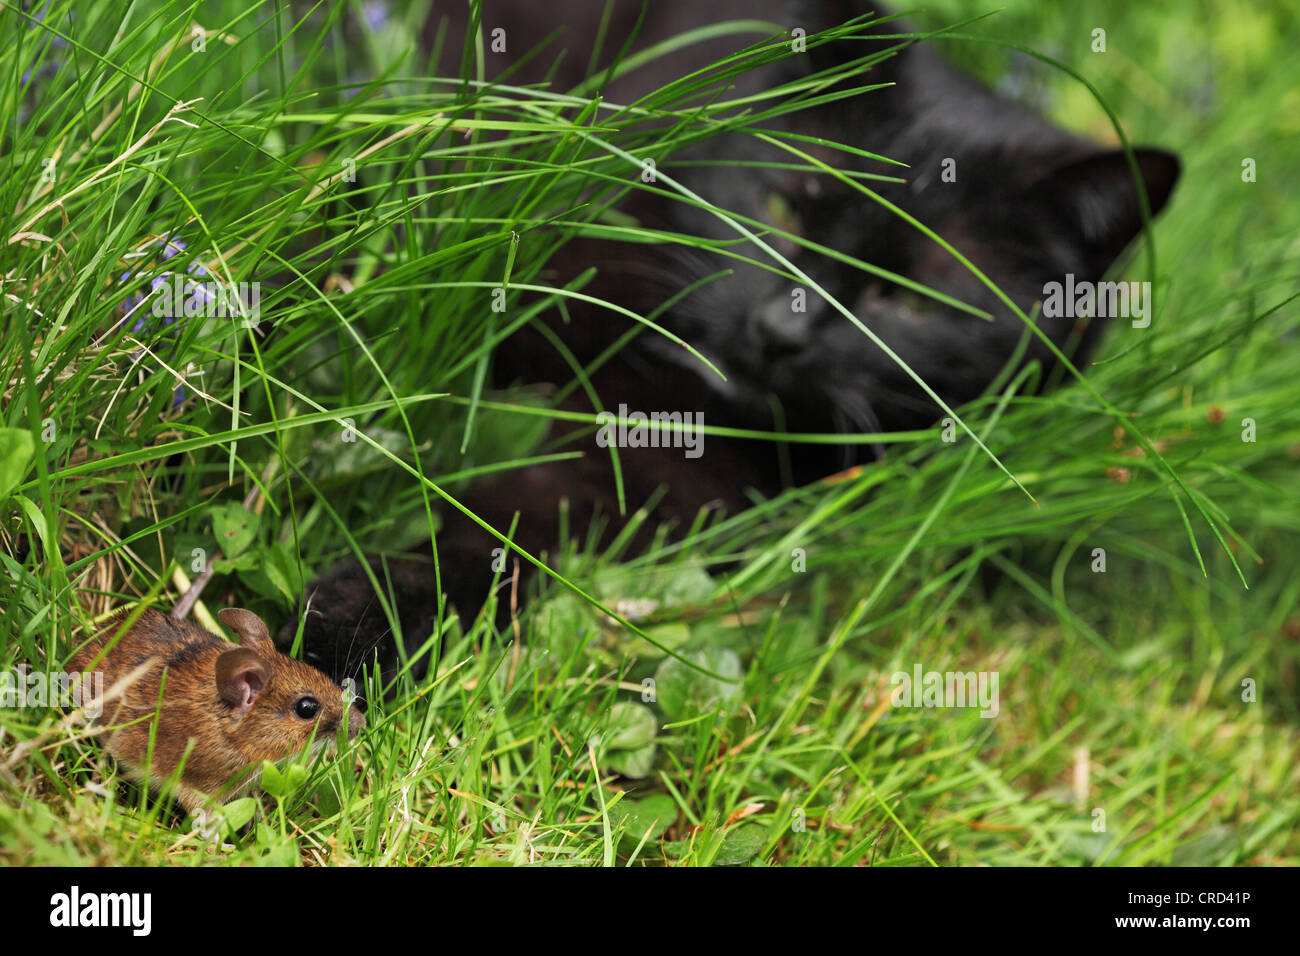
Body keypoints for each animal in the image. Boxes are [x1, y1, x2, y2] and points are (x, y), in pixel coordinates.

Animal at [284, 0, 1180, 686]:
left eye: (909, 298)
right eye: (785, 206)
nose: (778, 330)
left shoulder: (630, 490)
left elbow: (487, 544)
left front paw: (339, 636)